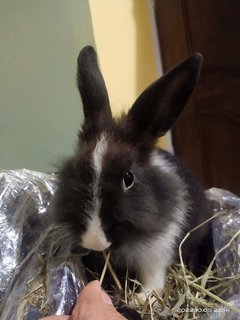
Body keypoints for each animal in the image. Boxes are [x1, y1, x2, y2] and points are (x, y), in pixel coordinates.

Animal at [52, 46, 212, 294]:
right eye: (78, 171)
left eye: (129, 178)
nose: (94, 241)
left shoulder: (157, 254)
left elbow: (153, 282)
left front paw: (143, 297)